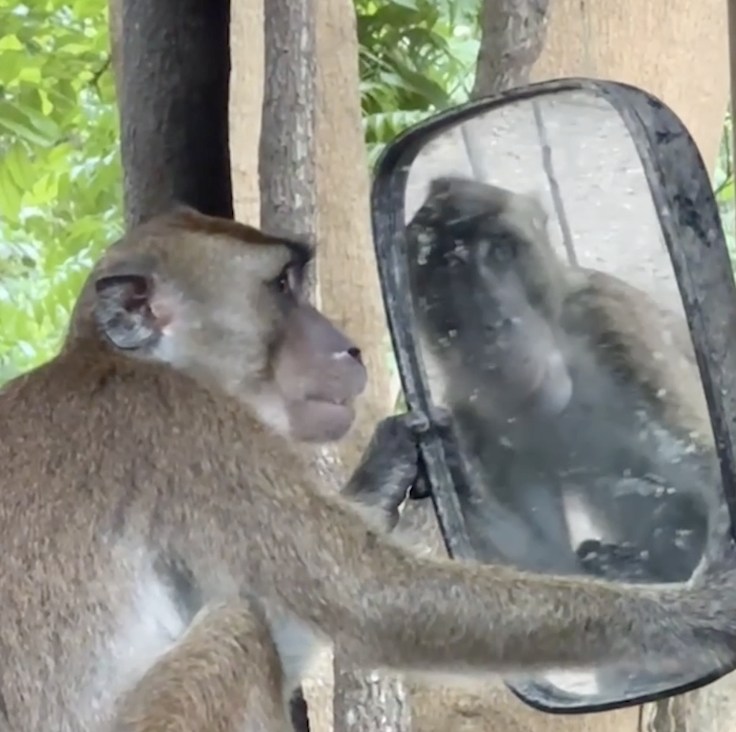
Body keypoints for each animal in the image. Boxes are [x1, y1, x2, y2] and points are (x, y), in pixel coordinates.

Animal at [404, 175, 719, 584]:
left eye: (501, 251)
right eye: (446, 274)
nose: (498, 322)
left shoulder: (615, 326)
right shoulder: (475, 419)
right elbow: (553, 561)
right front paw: (448, 464)